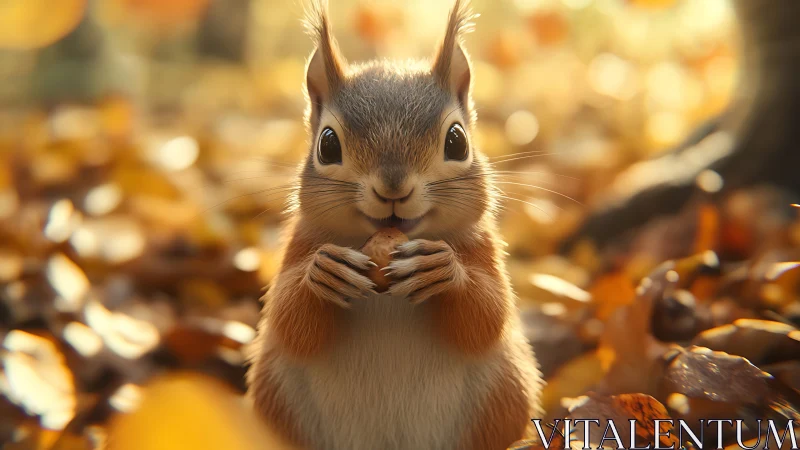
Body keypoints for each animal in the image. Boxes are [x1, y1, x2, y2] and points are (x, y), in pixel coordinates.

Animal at [246, 1, 543, 449]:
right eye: (327, 145)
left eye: (457, 141)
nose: (393, 188)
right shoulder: (300, 243)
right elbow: (288, 319)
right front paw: (323, 272)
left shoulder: (484, 246)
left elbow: (487, 314)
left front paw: (442, 269)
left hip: (504, 392)